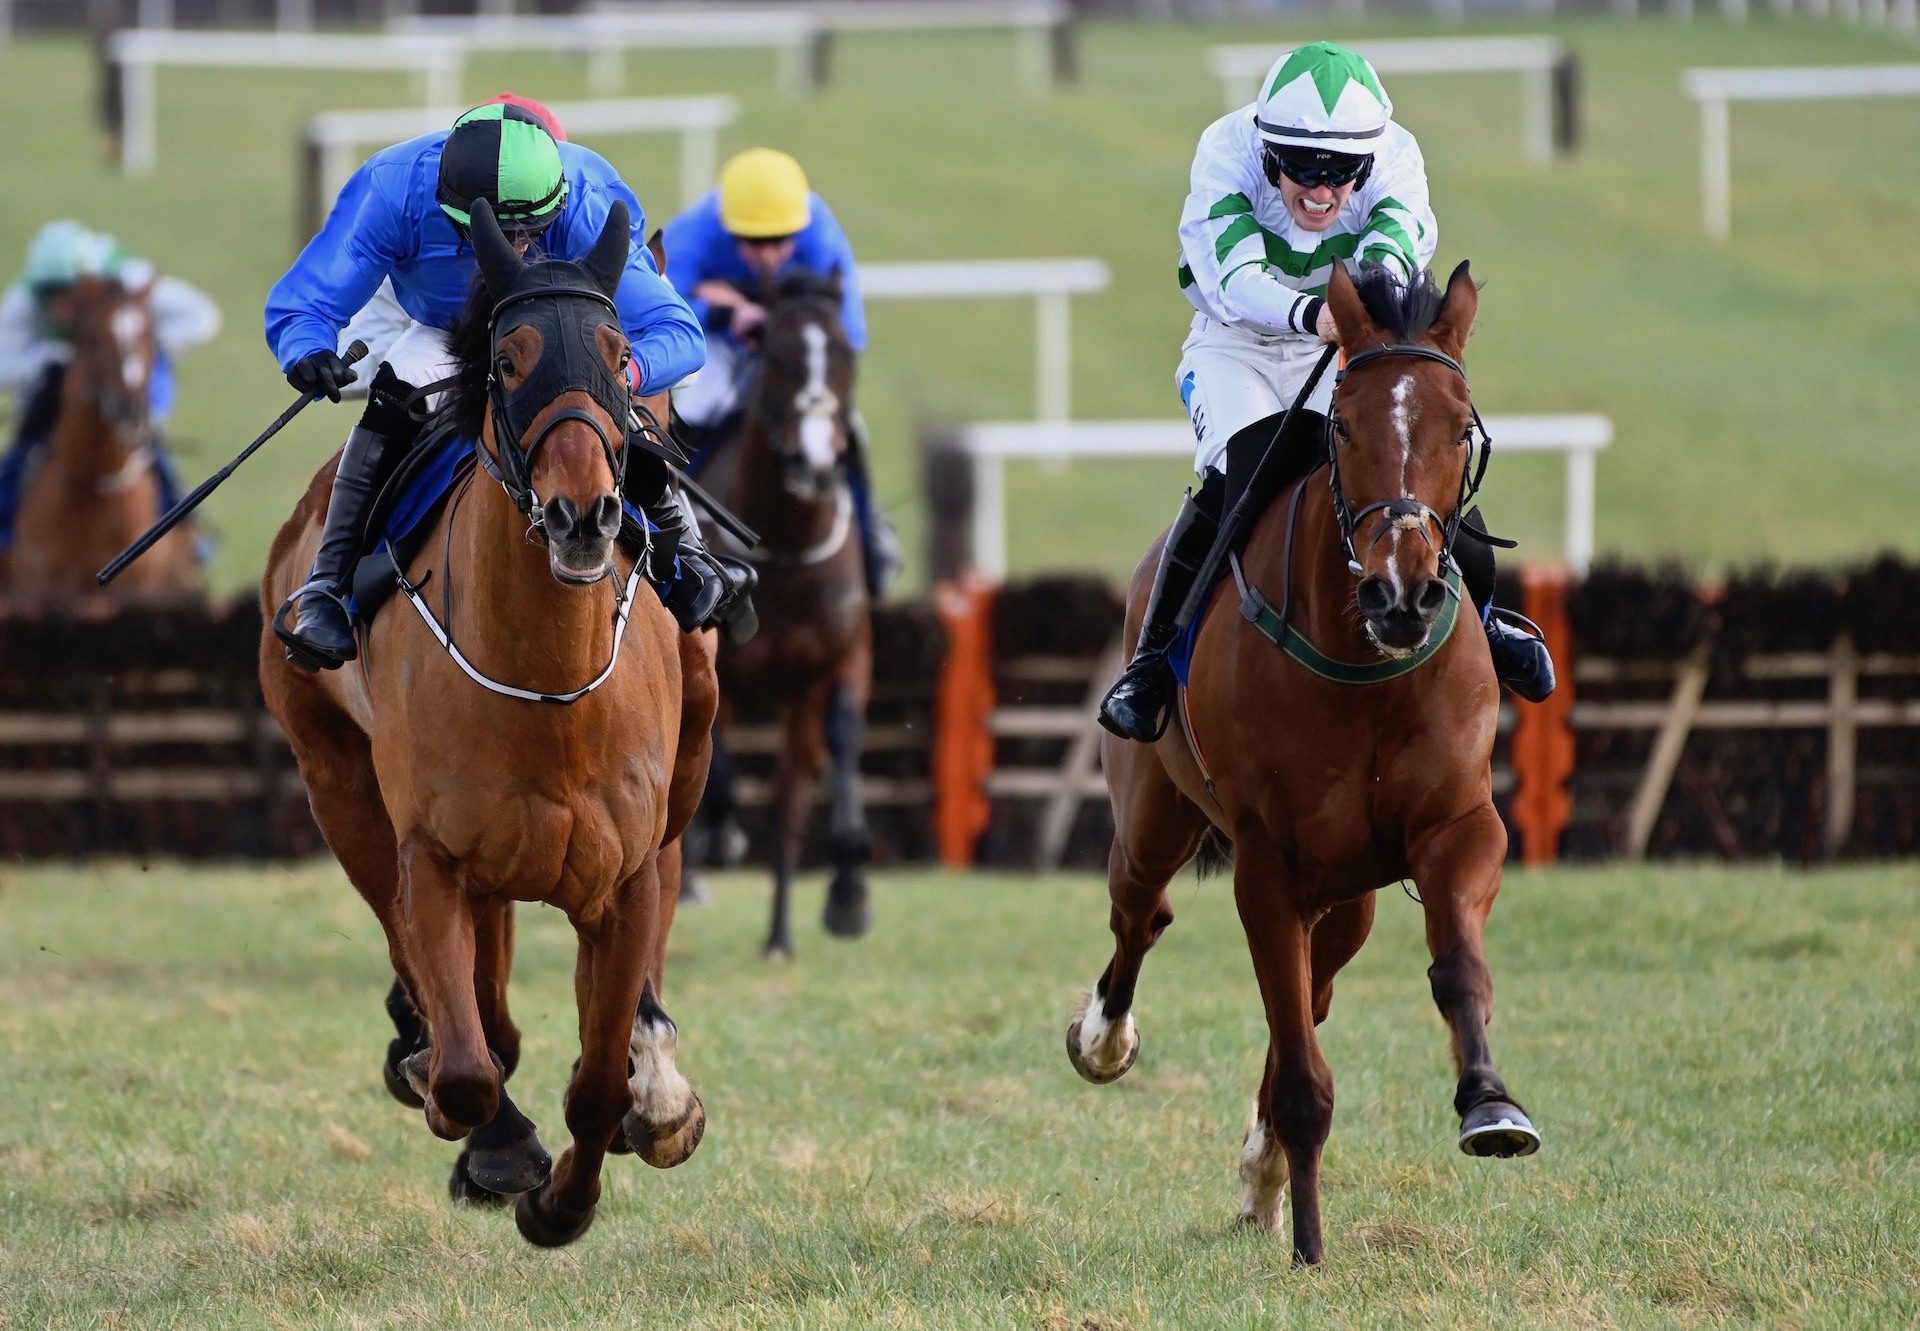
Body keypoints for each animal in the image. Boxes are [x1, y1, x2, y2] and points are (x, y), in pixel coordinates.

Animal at [259, 199, 718, 1244]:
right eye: (506, 362)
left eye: (622, 358)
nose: (587, 515)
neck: (549, 693)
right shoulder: (432, 857)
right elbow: (468, 1067)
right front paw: (489, 1136)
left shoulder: (629, 872)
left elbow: (598, 1080)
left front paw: (572, 1192)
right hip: (338, 784)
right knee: (462, 1004)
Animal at [691, 270, 871, 956]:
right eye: (776, 357)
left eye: (845, 355)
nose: (815, 462)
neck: (788, 549)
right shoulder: (723, 670)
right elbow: (717, 763)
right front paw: (720, 835)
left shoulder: (834, 664)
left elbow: (828, 759)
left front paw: (845, 895)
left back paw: (780, 932)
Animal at [1075, 263, 1536, 1267]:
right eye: (1346, 425)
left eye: (1460, 426)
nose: (1402, 594)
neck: (1364, 663)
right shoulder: (1268, 862)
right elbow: (1299, 1070)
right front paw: (1311, 1246)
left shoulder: (1459, 826)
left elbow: (1456, 968)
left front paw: (1489, 1103)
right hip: (1153, 819)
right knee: (1141, 916)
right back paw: (1103, 1040)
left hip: (1350, 891)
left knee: (1314, 986)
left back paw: (1264, 1167)